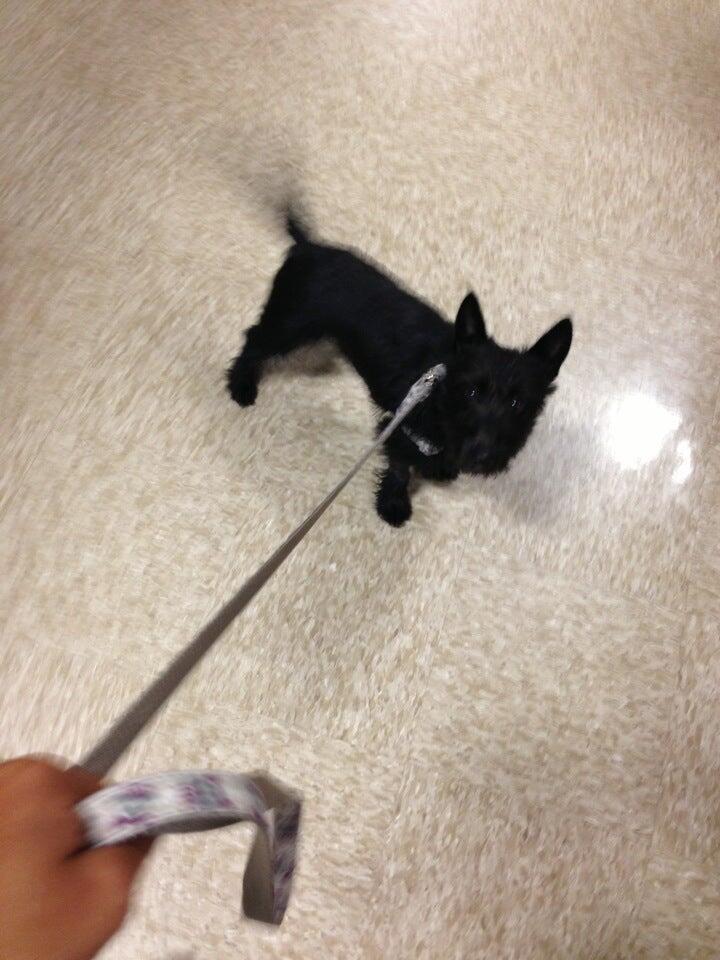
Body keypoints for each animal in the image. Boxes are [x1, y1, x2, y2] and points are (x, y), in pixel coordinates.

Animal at [227, 214, 572, 527]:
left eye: (517, 402)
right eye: (472, 391)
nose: (482, 457)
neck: (440, 393)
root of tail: (308, 246)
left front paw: (441, 469)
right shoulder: (400, 428)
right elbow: (399, 468)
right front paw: (393, 505)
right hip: (289, 326)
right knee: (253, 340)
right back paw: (241, 386)